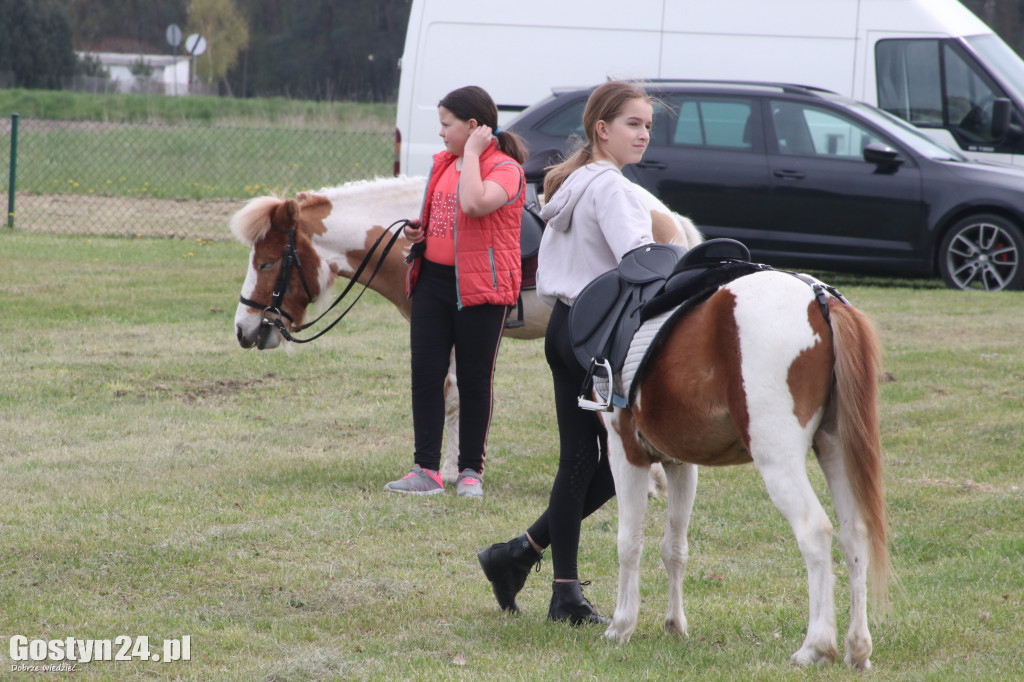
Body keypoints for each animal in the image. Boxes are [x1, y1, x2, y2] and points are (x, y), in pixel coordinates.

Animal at [598, 268, 888, 667]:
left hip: (778, 463)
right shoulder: (679, 463)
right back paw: (857, 647)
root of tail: (820, 298)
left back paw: (815, 645)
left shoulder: (625, 451)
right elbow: (675, 547)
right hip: (835, 452)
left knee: (815, 531)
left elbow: (628, 542)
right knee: (853, 533)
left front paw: (622, 625)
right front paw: (674, 625)